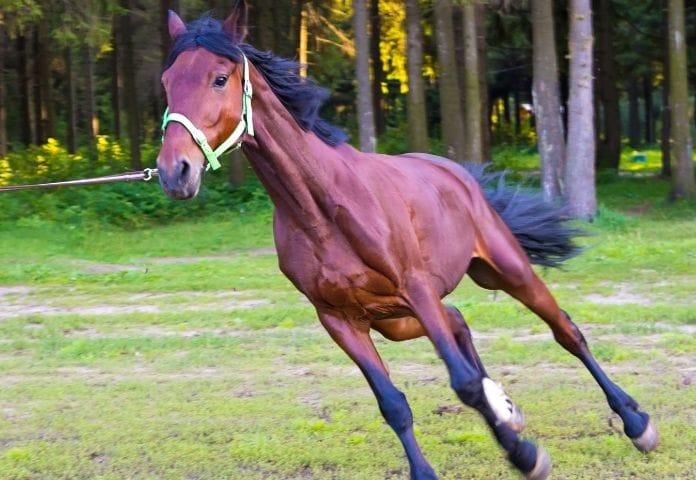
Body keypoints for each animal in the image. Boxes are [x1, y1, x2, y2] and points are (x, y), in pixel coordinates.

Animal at [156, 4, 659, 479]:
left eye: (220, 78)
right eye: (166, 83)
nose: (173, 171)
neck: (321, 210)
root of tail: (456, 173)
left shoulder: (416, 289)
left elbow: (463, 383)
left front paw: (525, 455)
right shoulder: (340, 319)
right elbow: (393, 402)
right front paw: (446, 460)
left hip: (503, 272)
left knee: (565, 331)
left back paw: (636, 423)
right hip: (395, 320)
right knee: (458, 322)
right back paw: (508, 410)